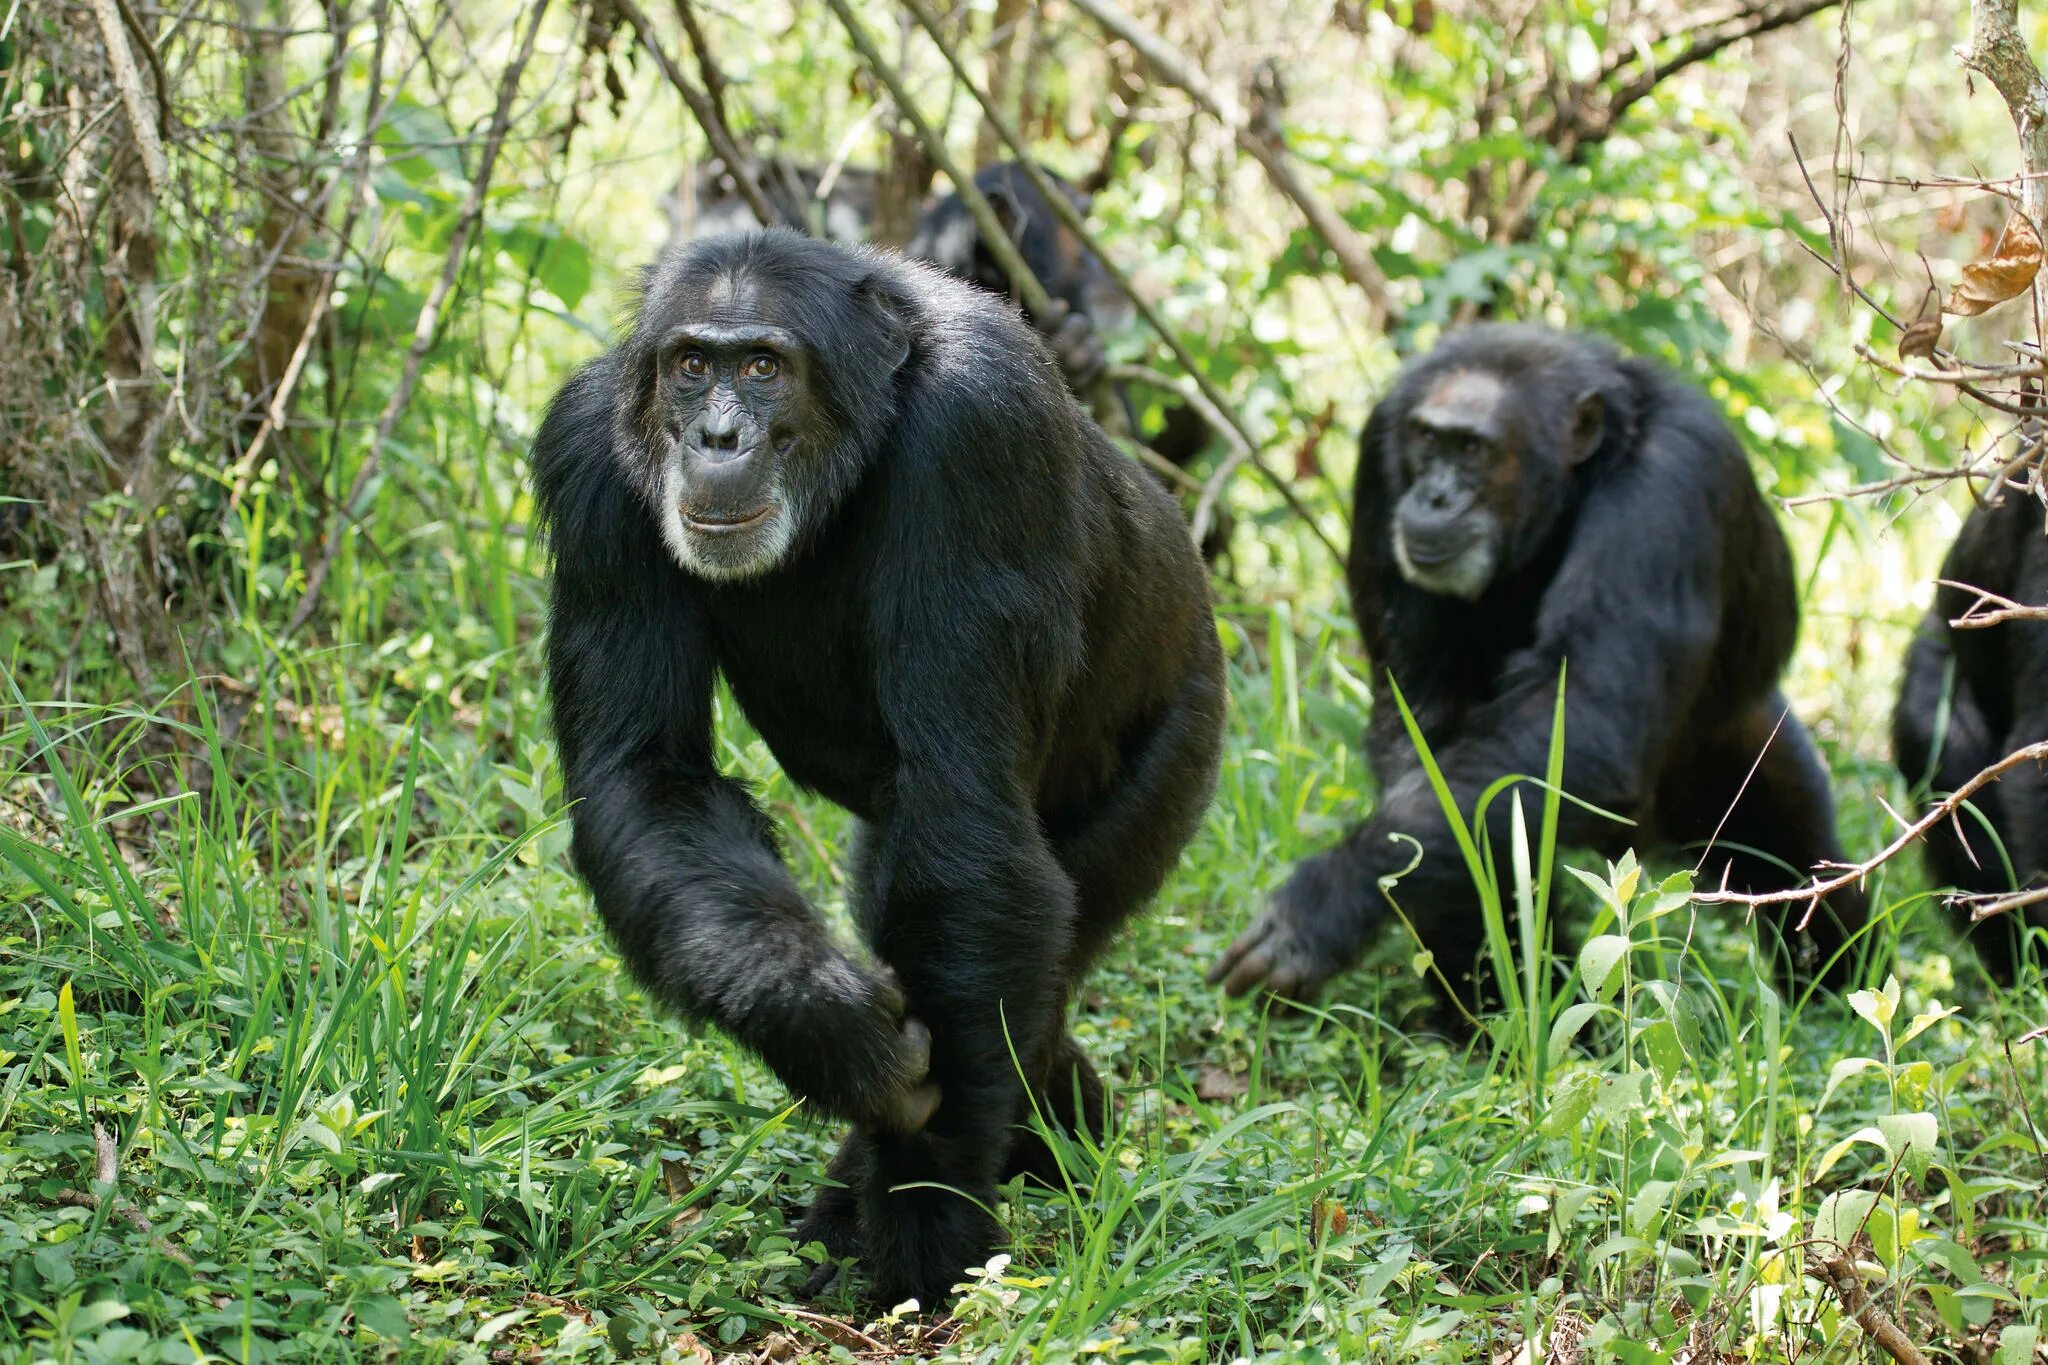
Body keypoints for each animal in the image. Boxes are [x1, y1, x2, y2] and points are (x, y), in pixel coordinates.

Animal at [536, 227, 1220, 1301]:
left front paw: (927, 1223)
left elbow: (963, 823)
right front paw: (820, 1022)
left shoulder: (985, 432)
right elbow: (650, 773)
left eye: (763, 367)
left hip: (1180, 736)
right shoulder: (587, 466)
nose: (716, 436)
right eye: (690, 365)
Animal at [1212, 325, 1875, 1010]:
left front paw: (1327, 901)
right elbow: (1433, 739)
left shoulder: (1675, 480)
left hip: (1740, 749)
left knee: (1798, 862)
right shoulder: (1379, 468)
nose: (1434, 495)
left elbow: (1588, 717)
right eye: (1427, 439)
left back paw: (1832, 989)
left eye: (1473, 449)